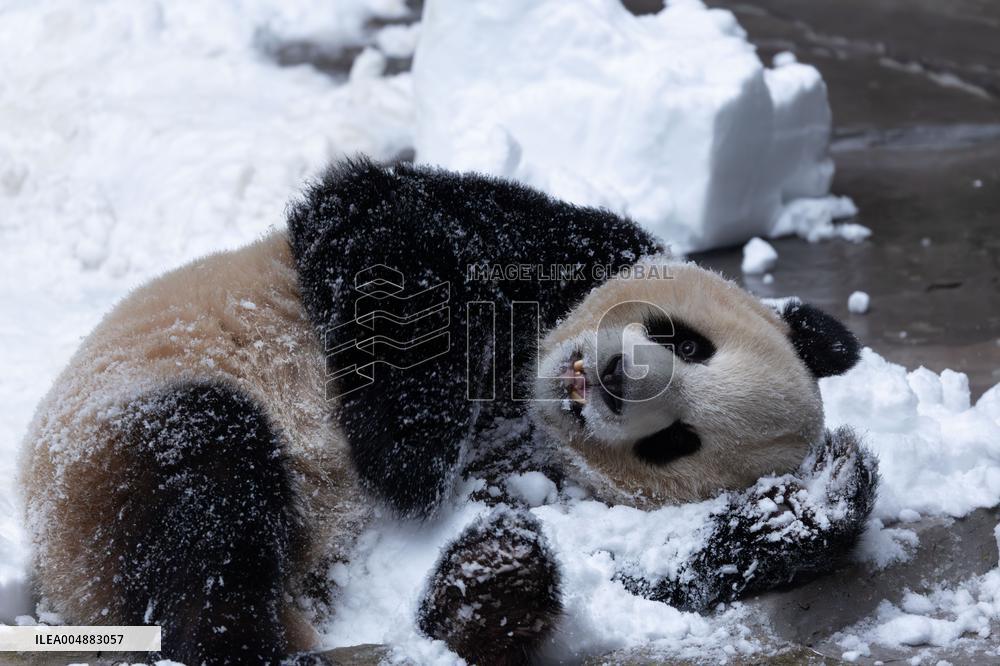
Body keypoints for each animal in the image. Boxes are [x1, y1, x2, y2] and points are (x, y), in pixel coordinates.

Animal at [18, 158, 876, 665]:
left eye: (675, 442)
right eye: (686, 341)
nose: (615, 382)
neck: (519, 392)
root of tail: (66, 582)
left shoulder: (549, 480)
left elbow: (635, 572)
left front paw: (816, 497)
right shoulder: (545, 238)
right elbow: (381, 228)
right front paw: (413, 459)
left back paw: (491, 589)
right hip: (113, 434)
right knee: (205, 481)